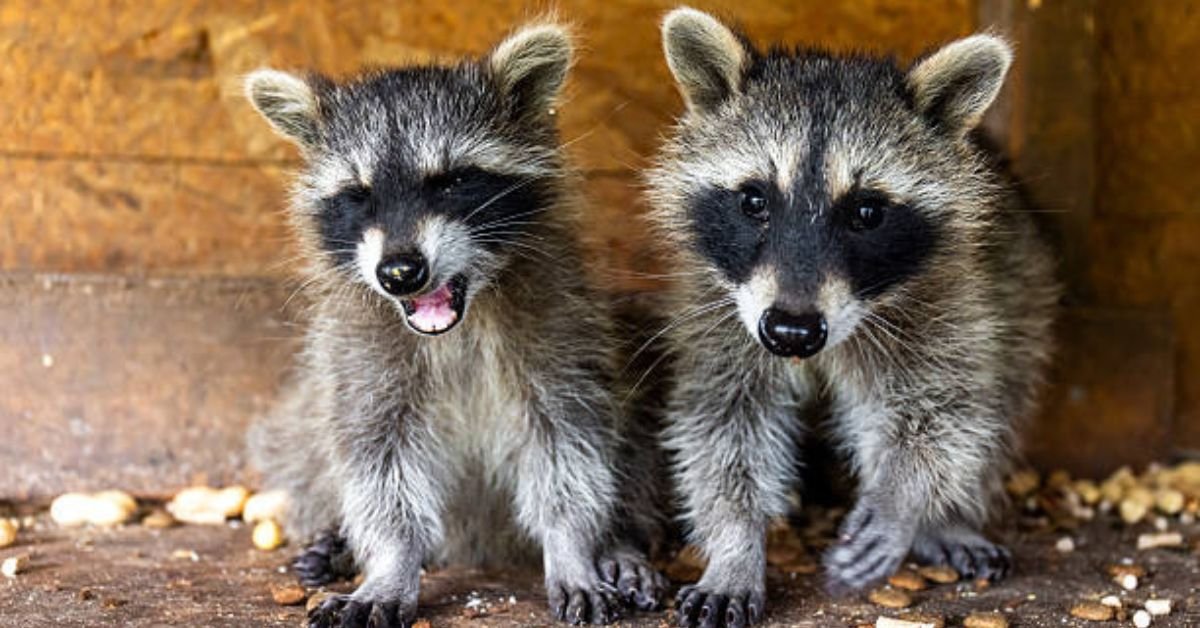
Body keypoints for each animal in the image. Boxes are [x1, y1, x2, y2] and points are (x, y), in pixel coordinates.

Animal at [243, 22, 666, 627]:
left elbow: (567, 446)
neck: (458, 321)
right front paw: (391, 561)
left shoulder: (560, 329)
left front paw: (573, 545)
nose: (399, 273)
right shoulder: (359, 349)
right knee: (300, 440)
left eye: (451, 181)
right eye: (359, 195)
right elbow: (378, 458)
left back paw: (624, 540)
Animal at [646, 8, 1057, 626]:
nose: (791, 332)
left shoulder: (944, 299)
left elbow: (940, 413)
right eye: (754, 201)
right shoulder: (718, 312)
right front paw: (735, 545)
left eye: (866, 212)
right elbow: (722, 428)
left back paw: (947, 517)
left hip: (1022, 284)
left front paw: (901, 499)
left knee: (1001, 398)